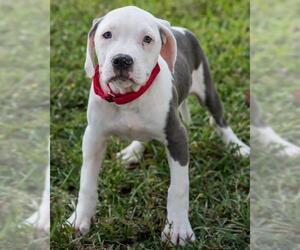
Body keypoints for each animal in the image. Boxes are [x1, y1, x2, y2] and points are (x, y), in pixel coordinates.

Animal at [67, 5, 250, 246]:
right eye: (107, 35)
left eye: (147, 39)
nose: (122, 60)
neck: (128, 97)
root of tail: (177, 28)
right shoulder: (94, 137)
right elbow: (87, 182)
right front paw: (80, 218)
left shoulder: (177, 137)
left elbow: (179, 188)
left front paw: (178, 229)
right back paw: (133, 151)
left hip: (206, 87)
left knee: (218, 119)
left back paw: (236, 147)